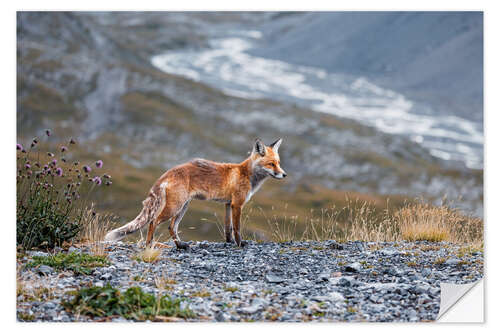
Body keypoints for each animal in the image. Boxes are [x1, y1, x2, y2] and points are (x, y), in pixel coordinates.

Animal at [105, 136, 286, 248]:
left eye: (278, 163)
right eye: (271, 164)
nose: (284, 175)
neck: (247, 174)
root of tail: (170, 171)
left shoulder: (228, 204)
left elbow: (228, 228)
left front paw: (228, 243)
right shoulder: (237, 204)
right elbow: (237, 228)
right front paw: (240, 244)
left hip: (183, 207)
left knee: (171, 227)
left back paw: (180, 245)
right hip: (175, 207)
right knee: (153, 221)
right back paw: (150, 245)